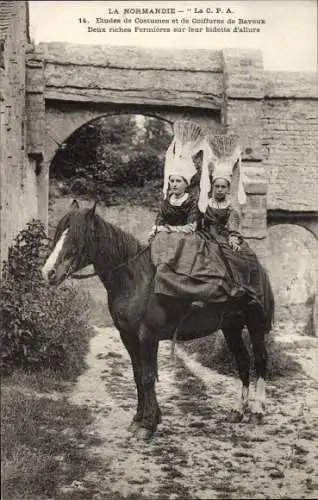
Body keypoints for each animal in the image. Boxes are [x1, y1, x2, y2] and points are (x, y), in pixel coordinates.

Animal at [42, 201, 274, 440]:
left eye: (76, 236)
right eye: (59, 233)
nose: (48, 272)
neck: (136, 280)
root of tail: (258, 268)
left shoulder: (147, 336)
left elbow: (148, 376)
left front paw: (148, 424)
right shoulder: (128, 336)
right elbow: (137, 375)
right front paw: (139, 418)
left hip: (255, 324)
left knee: (260, 360)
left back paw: (257, 411)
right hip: (231, 327)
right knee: (243, 362)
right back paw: (238, 411)